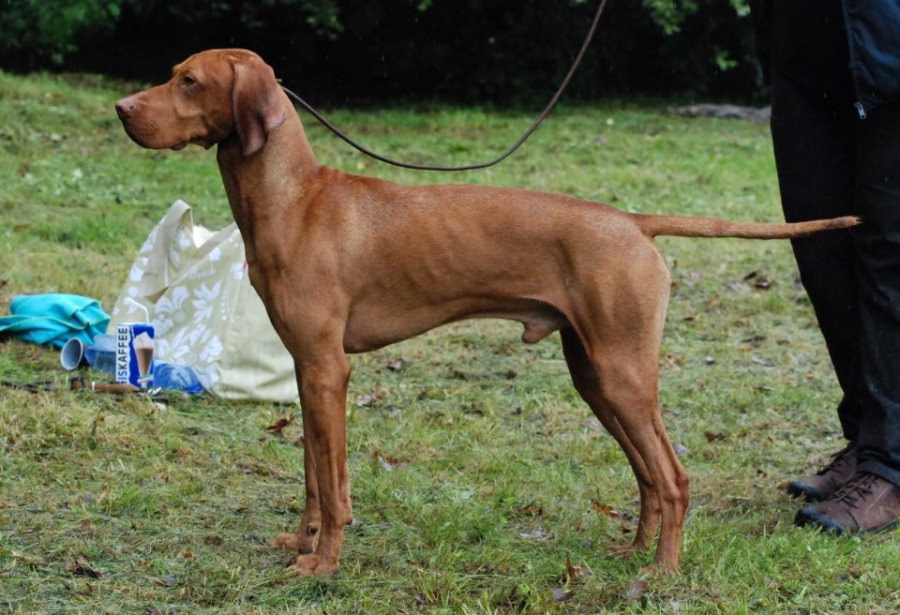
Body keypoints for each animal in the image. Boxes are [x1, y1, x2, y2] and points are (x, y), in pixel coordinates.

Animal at [115, 49, 858, 576]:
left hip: (623, 373)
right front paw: (300, 542)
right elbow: (313, 477)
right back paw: (633, 553)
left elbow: (331, 483)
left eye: (188, 80)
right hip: (596, 375)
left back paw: (662, 575)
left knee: (673, 476)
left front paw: (322, 564)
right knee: (648, 475)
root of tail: (631, 222)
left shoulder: (328, 370)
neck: (297, 199)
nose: (122, 108)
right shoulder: (306, 370)